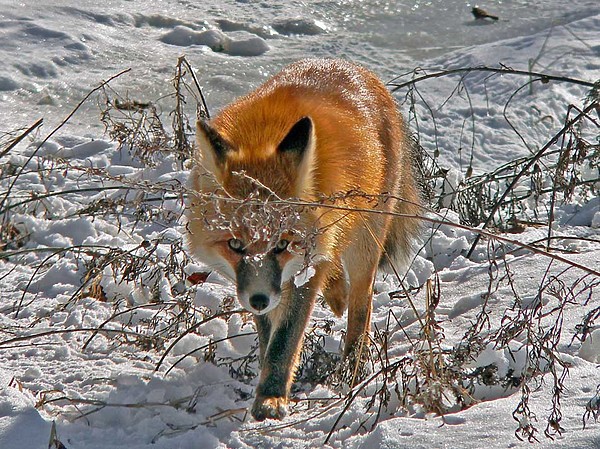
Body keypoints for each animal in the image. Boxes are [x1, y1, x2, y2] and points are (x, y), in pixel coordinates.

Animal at [188, 58, 422, 420]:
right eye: (235, 245)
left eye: (283, 244)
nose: (258, 301)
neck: (262, 136)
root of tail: (351, 66)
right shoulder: (265, 282)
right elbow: (269, 335)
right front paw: (269, 379)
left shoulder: (304, 268)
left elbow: (285, 338)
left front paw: (271, 397)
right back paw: (337, 295)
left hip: (365, 243)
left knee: (361, 306)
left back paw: (352, 368)